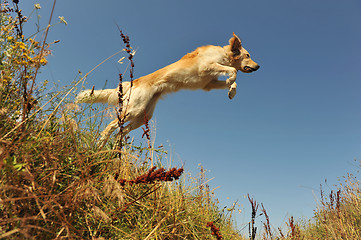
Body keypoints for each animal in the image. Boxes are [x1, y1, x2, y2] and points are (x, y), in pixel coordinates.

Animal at [77, 32, 258, 143]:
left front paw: (232, 91)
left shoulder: (208, 83)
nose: (259, 66)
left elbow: (232, 79)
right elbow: (234, 71)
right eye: (248, 55)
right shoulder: (206, 67)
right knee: (111, 127)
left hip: (142, 116)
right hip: (133, 109)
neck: (225, 55)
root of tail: (135, 82)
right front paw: (232, 82)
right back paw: (100, 145)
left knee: (120, 133)